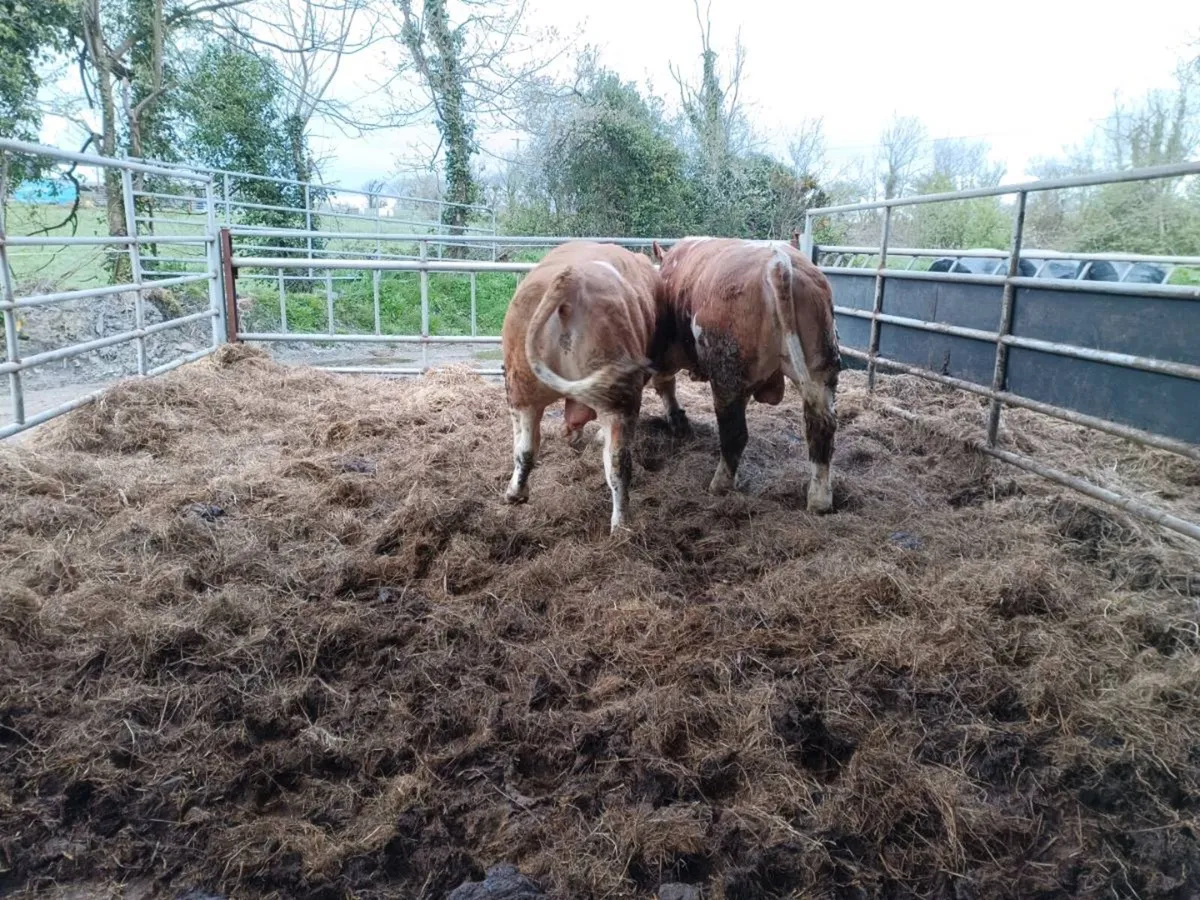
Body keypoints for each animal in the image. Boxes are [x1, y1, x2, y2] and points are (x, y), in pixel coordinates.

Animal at [500, 241, 690, 532]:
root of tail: (570, 280)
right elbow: (666, 384)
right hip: (614, 398)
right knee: (618, 463)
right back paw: (621, 527)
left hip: (522, 386)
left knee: (526, 447)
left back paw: (516, 493)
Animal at [650, 237, 841, 513]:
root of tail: (778, 261)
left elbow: (665, 384)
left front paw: (677, 421)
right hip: (821, 370)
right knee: (821, 427)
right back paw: (819, 500)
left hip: (727, 378)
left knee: (734, 434)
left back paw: (719, 485)